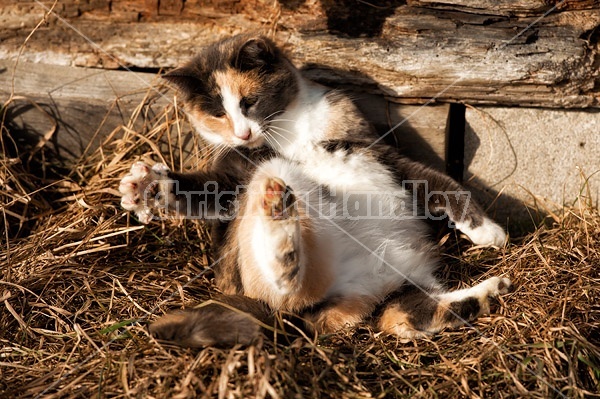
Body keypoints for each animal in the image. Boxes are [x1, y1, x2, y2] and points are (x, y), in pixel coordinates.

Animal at [118, 33, 510, 346]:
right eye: (217, 113)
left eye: (248, 102)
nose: (243, 134)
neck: (289, 133)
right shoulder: (234, 174)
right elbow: (203, 190)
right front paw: (149, 186)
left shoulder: (375, 149)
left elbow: (439, 183)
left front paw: (488, 231)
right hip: (270, 189)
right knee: (290, 286)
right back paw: (280, 236)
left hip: (398, 289)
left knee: (403, 315)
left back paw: (487, 294)